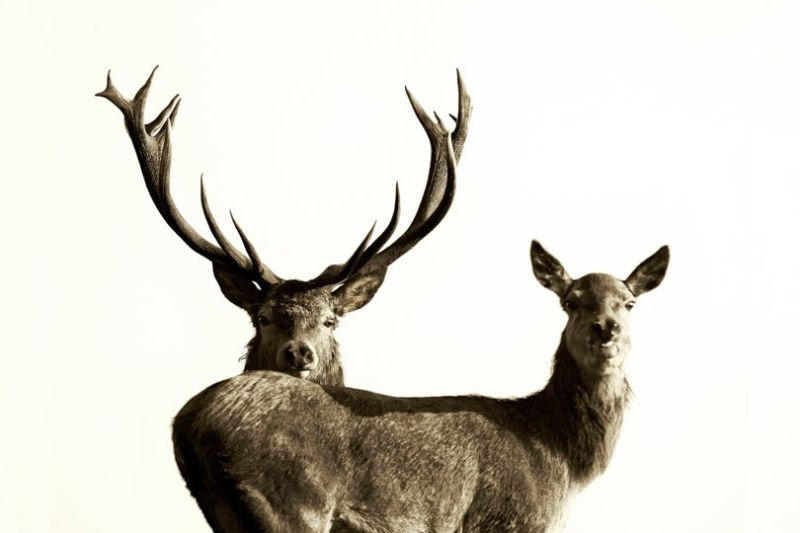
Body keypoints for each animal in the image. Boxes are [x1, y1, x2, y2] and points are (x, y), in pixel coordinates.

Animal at [171, 239, 670, 532]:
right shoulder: (507, 521)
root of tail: (187, 422)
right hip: (289, 503)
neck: (561, 457)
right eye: (571, 301)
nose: (605, 328)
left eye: (629, 302)